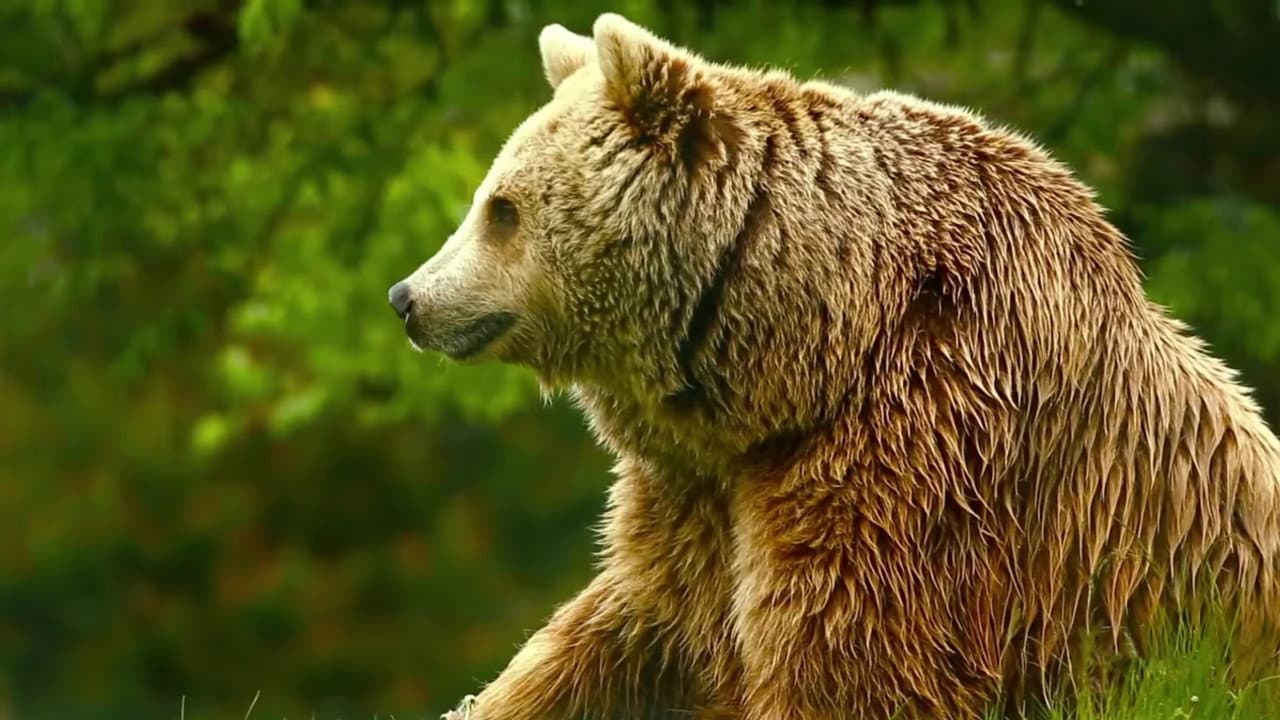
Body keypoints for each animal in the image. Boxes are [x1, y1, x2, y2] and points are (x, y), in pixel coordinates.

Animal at [386, 13, 1280, 720]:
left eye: (501, 209)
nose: (407, 296)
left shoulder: (924, 450)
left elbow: (845, 656)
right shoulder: (698, 490)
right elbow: (621, 629)